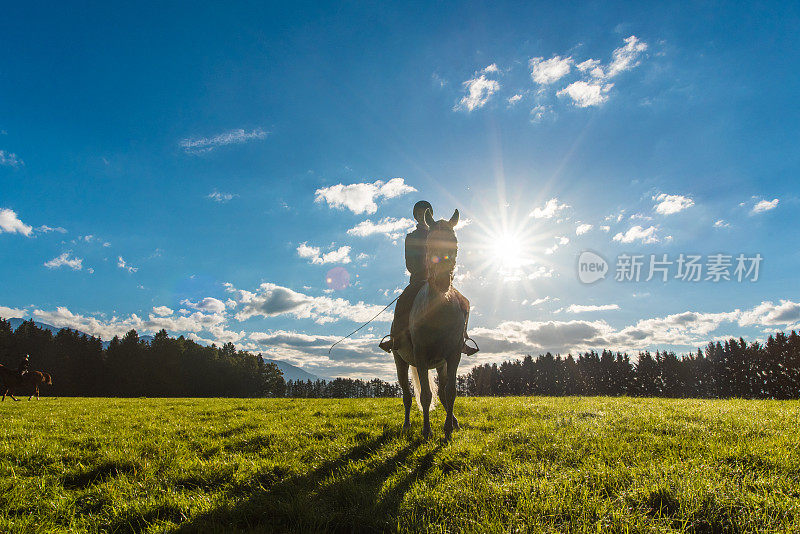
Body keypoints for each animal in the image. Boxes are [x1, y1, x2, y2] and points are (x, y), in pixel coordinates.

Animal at [392, 207, 468, 442]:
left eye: (455, 244)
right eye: (428, 244)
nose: (442, 281)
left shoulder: (453, 355)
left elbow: (450, 392)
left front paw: (448, 430)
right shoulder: (421, 355)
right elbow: (425, 395)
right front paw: (427, 431)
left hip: (441, 364)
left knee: (442, 392)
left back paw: (454, 423)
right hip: (401, 361)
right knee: (407, 396)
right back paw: (406, 425)